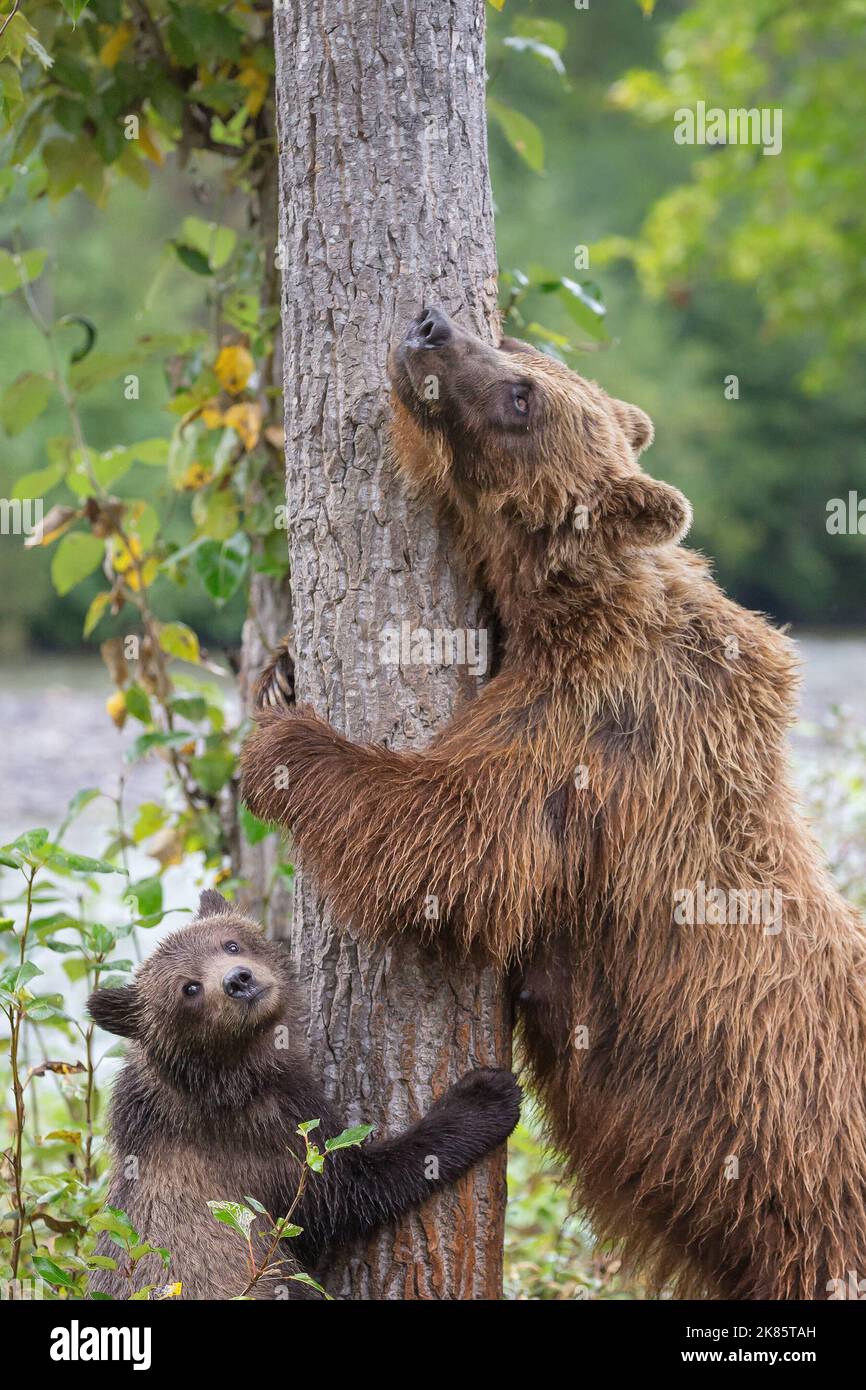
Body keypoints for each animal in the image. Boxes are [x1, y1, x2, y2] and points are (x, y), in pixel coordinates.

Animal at [240, 309, 866, 1295]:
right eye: (524, 354)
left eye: (521, 393)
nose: (431, 324)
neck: (560, 611)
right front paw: (285, 669)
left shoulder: (596, 737)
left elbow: (457, 840)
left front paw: (284, 738)